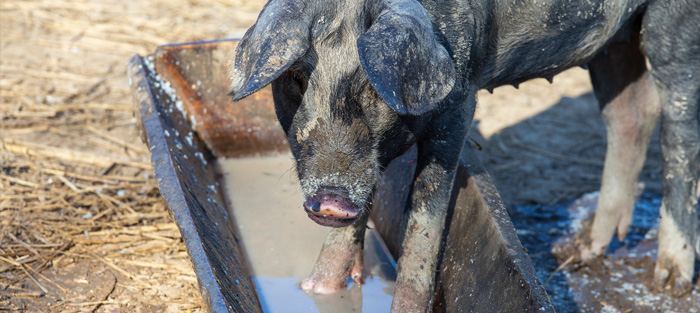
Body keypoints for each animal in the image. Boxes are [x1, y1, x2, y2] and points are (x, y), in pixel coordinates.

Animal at [228, 0, 696, 310]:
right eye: (297, 76)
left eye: (374, 86)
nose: (331, 199)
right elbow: (352, 227)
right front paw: (316, 292)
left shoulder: (460, 98)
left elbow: (426, 221)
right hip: (614, 42)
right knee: (631, 113)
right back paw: (584, 251)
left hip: (675, 26)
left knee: (678, 127)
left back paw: (670, 282)